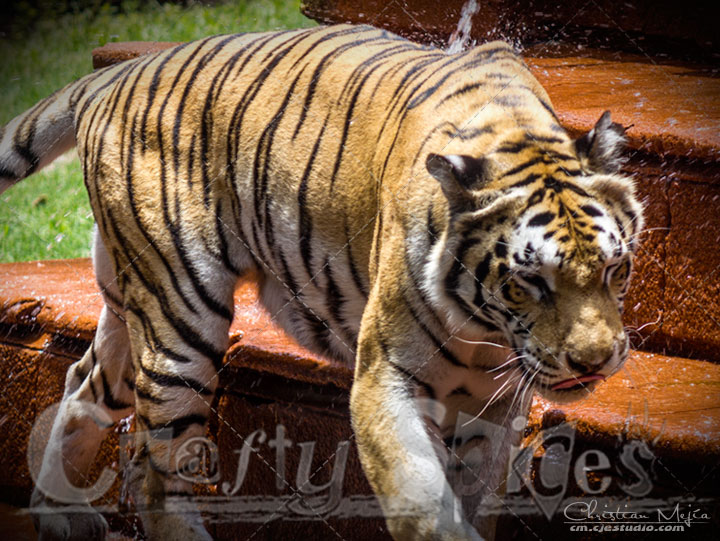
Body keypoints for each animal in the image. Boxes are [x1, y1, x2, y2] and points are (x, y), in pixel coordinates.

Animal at [0, 24, 643, 540]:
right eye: (530, 281)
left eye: (615, 268)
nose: (595, 362)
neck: (487, 334)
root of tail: (117, 73)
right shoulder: (386, 379)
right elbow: (422, 503)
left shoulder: (496, 403)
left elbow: (480, 495)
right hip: (180, 314)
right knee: (155, 469)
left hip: (129, 300)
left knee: (81, 387)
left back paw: (58, 513)